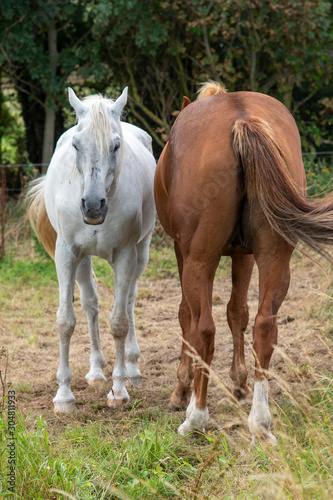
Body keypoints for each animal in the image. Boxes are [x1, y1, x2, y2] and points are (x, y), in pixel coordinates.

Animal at [27, 87, 156, 410]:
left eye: (116, 145)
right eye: (76, 144)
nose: (93, 206)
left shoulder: (125, 255)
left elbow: (119, 322)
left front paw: (119, 389)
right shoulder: (67, 253)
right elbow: (65, 321)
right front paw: (63, 395)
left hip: (142, 251)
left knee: (129, 300)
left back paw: (131, 369)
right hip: (83, 260)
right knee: (90, 303)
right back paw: (96, 370)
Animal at [154, 82, 332, 446]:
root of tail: (241, 117)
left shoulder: (183, 253)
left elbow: (185, 317)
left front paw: (181, 388)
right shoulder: (244, 254)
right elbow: (238, 313)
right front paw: (240, 382)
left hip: (199, 261)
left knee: (204, 329)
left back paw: (196, 417)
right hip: (275, 258)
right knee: (264, 327)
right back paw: (260, 423)